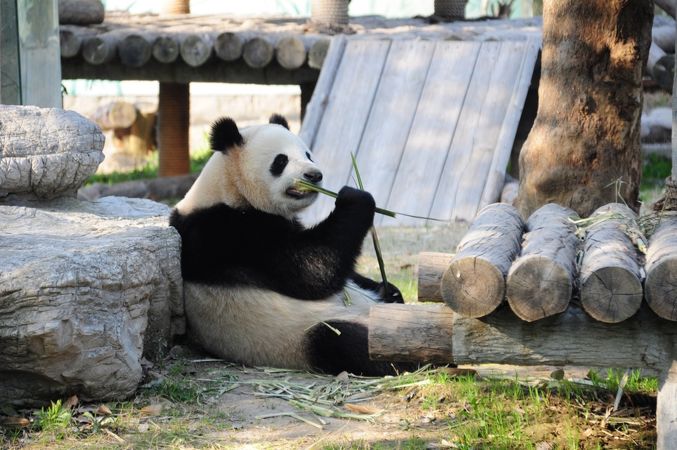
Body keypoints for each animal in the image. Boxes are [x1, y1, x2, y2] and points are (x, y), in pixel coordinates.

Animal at [170, 114, 412, 374]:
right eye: (281, 160)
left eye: (308, 154)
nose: (314, 176)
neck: (228, 187)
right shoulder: (230, 235)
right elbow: (312, 270)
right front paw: (355, 198)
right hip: (299, 333)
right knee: (346, 340)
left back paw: (390, 294)